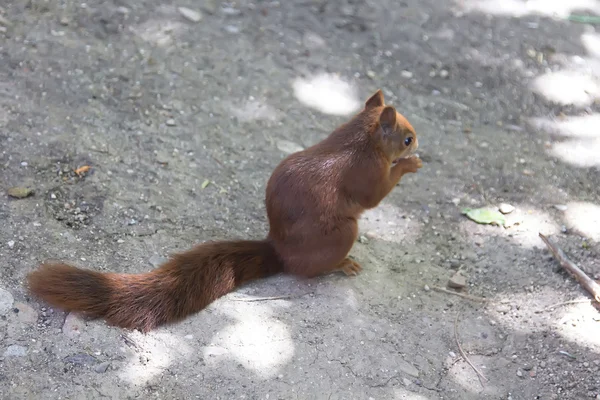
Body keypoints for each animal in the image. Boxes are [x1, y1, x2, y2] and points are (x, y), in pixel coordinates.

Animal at [25, 90, 422, 332]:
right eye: (406, 137)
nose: (418, 145)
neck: (359, 137)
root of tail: (279, 250)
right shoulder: (364, 171)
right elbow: (374, 196)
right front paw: (408, 165)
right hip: (342, 234)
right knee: (313, 270)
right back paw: (342, 264)